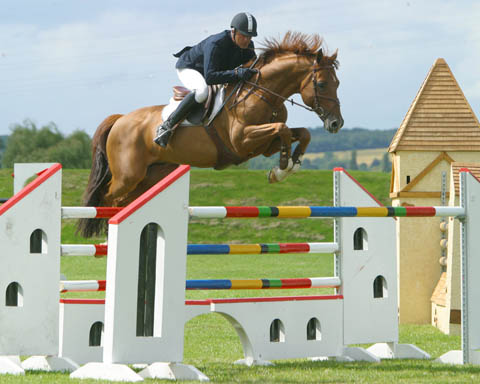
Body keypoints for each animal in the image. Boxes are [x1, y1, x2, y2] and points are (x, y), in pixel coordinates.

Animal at [77, 32, 344, 237]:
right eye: (321, 84)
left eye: (338, 83)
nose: (336, 123)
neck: (263, 94)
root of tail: (121, 119)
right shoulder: (242, 141)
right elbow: (283, 130)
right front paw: (282, 168)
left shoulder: (263, 145)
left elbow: (301, 133)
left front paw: (289, 166)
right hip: (127, 176)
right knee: (108, 199)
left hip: (150, 176)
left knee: (123, 202)